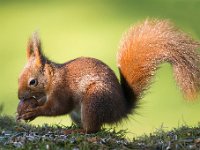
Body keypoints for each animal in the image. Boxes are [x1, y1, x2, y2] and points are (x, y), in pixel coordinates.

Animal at [17, 19, 200, 133]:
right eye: (18, 78)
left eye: (32, 81)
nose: (19, 96)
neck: (53, 79)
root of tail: (120, 110)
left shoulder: (62, 91)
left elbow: (57, 108)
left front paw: (33, 112)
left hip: (94, 101)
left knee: (92, 130)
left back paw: (76, 131)